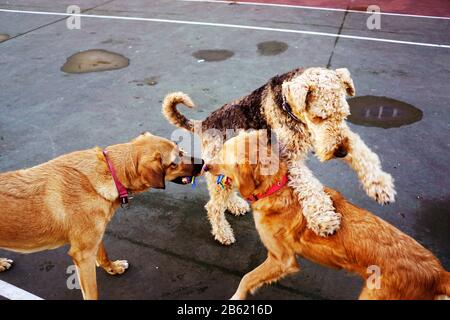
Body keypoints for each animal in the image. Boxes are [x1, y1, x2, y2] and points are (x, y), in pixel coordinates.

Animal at [0, 131, 203, 298]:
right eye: (174, 162)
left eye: (181, 150)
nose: (202, 163)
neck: (110, 172)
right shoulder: (83, 255)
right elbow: (92, 292)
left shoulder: (94, 238)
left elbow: (103, 254)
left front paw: (112, 267)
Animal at [163, 66, 396, 244]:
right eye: (319, 117)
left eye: (344, 114)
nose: (340, 152)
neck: (290, 107)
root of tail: (204, 123)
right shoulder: (290, 157)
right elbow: (310, 187)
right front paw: (324, 219)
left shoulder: (341, 137)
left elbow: (362, 153)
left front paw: (380, 187)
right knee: (213, 206)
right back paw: (224, 234)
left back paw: (236, 205)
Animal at [205, 130, 450, 300]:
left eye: (223, 156)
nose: (205, 166)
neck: (277, 187)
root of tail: (438, 273)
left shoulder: (282, 259)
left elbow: (246, 278)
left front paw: (236, 297)